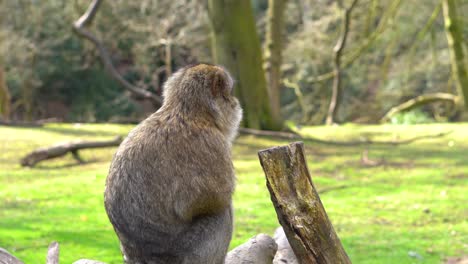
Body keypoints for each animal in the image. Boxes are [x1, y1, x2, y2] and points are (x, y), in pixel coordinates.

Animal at [102, 63, 241, 262]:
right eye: (229, 93)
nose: (235, 101)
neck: (186, 112)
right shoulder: (213, 143)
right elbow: (211, 199)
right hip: (189, 253)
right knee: (221, 213)